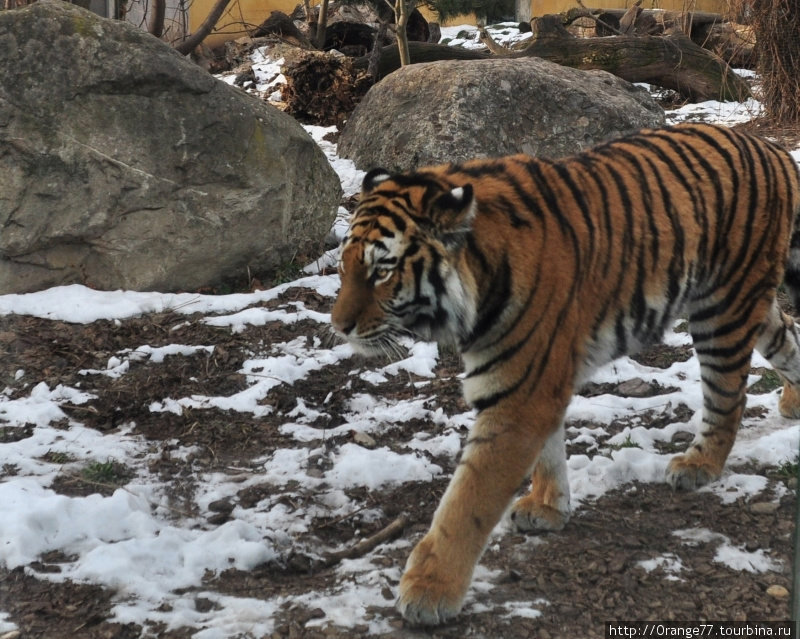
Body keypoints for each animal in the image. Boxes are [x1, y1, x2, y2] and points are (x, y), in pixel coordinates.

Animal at [328, 122, 800, 628]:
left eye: (382, 270)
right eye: (345, 265)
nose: (338, 326)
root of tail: (767, 147)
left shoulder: (521, 396)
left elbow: (466, 502)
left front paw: (428, 590)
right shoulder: (534, 381)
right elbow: (547, 452)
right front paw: (548, 507)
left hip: (723, 309)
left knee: (727, 395)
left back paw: (700, 464)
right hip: (749, 305)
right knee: (789, 333)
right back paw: (794, 402)